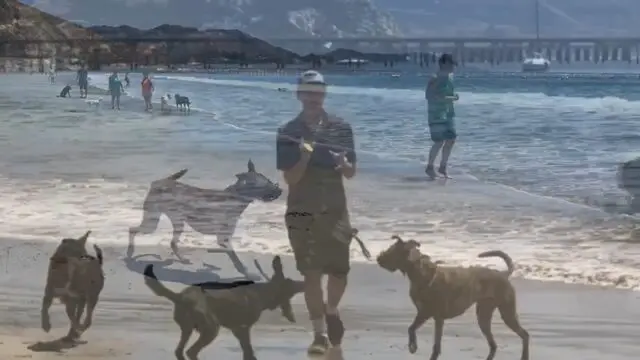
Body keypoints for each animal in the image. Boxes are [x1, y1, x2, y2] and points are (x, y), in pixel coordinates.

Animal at [127, 160, 282, 270]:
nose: (280, 190)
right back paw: (130, 251)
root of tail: (159, 181)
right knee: (132, 230)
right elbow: (236, 260)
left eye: (269, 181)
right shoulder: (223, 239)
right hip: (151, 222)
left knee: (172, 243)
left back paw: (181, 259)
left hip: (176, 222)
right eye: (266, 184)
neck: (236, 197)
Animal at [145, 255, 304, 360]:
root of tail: (180, 296)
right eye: (291, 284)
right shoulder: (243, 328)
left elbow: (248, 353)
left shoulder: (237, 330)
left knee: (179, 351)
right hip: (211, 329)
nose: (304, 284)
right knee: (191, 351)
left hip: (187, 329)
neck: (263, 293)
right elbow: (249, 353)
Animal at [376, 235, 528, 360]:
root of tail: (503, 274)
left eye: (391, 251)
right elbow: (411, 328)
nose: (378, 258)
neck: (422, 275)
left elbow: (436, 344)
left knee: (524, 334)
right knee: (493, 344)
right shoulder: (423, 313)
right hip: (484, 316)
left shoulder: (436, 317)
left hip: (507, 313)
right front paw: (412, 346)